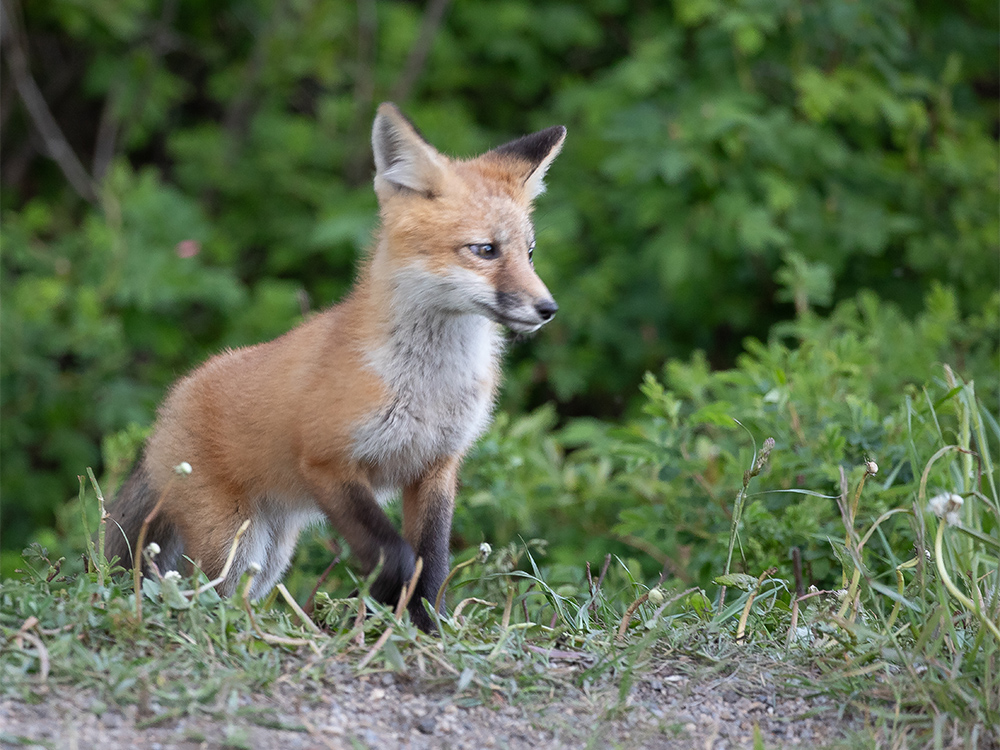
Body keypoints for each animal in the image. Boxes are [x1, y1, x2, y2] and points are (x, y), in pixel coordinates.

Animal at [104, 103, 566, 632]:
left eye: (529, 253)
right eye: (485, 250)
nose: (547, 309)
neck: (429, 388)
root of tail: (164, 415)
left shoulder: (437, 466)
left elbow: (433, 561)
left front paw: (427, 627)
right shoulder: (329, 464)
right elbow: (396, 555)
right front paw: (380, 604)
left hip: (271, 550)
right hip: (233, 541)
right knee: (203, 594)